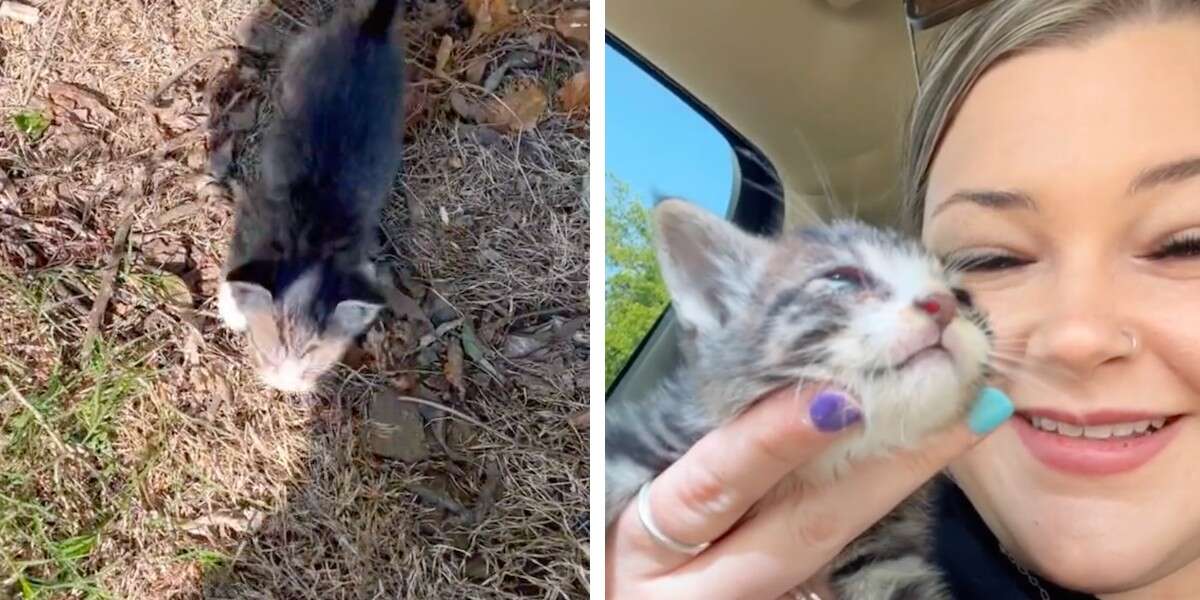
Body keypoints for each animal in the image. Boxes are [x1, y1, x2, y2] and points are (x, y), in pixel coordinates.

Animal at [214, 0, 403, 393]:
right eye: (272, 351)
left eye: (311, 361)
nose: (285, 384)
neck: (312, 243)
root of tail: (370, 31)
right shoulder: (254, 216)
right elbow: (234, 267)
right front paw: (232, 308)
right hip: (303, 55)